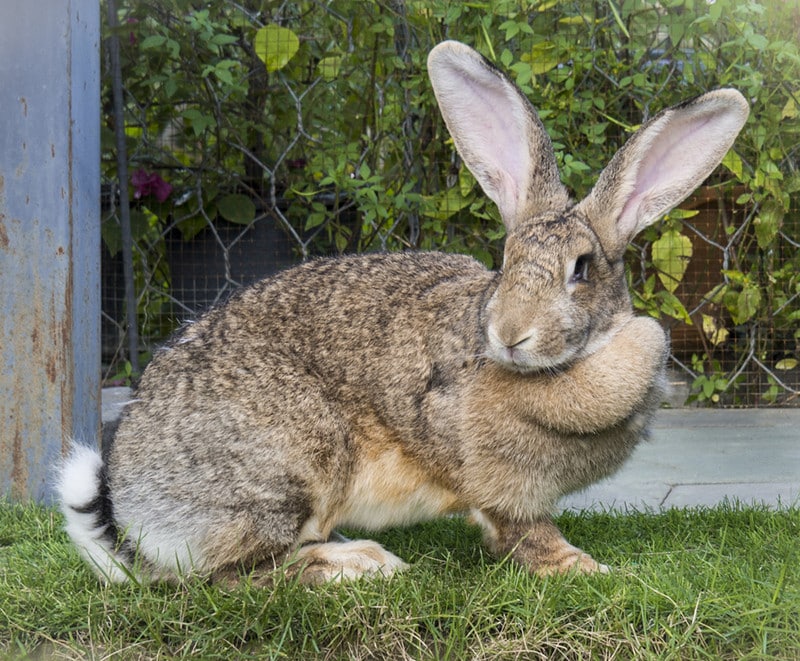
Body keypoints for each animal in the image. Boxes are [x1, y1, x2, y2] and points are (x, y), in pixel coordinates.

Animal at [57, 40, 752, 584]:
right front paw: (585, 569)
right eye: (505, 261)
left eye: (581, 269)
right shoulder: (498, 484)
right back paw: (358, 565)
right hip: (289, 465)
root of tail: (132, 508)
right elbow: (524, 533)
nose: (509, 335)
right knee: (234, 576)